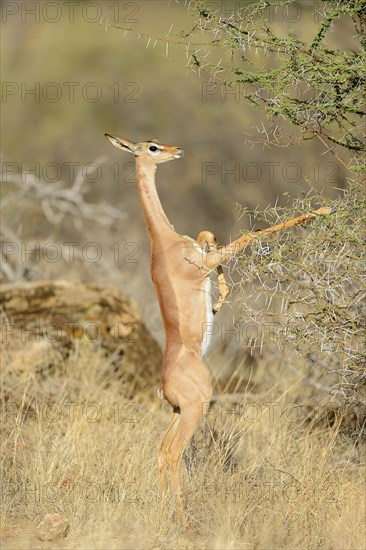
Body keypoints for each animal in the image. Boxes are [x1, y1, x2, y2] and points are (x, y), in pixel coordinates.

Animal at [105, 133, 328, 512]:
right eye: (151, 148)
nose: (177, 150)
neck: (164, 241)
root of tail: (164, 384)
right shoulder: (204, 264)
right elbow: (251, 234)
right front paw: (321, 211)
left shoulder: (206, 254)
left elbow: (209, 234)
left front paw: (220, 299)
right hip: (196, 408)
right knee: (172, 453)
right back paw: (180, 514)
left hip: (178, 412)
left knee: (160, 450)